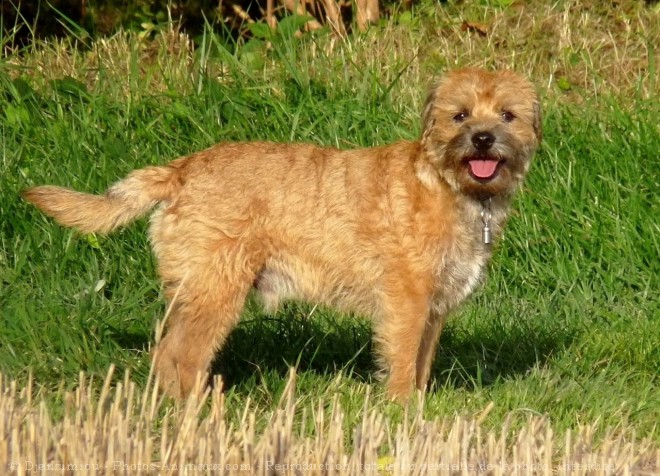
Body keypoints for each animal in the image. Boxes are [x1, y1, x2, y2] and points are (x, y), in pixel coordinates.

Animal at [23, 67, 544, 400]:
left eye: (507, 116)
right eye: (460, 116)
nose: (482, 138)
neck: (448, 185)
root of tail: (180, 171)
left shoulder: (434, 309)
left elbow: (422, 363)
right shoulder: (407, 302)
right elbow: (400, 361)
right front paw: (402, 412)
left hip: (195, 293)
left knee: (166, 354)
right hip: (216, 290)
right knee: (179, 356)